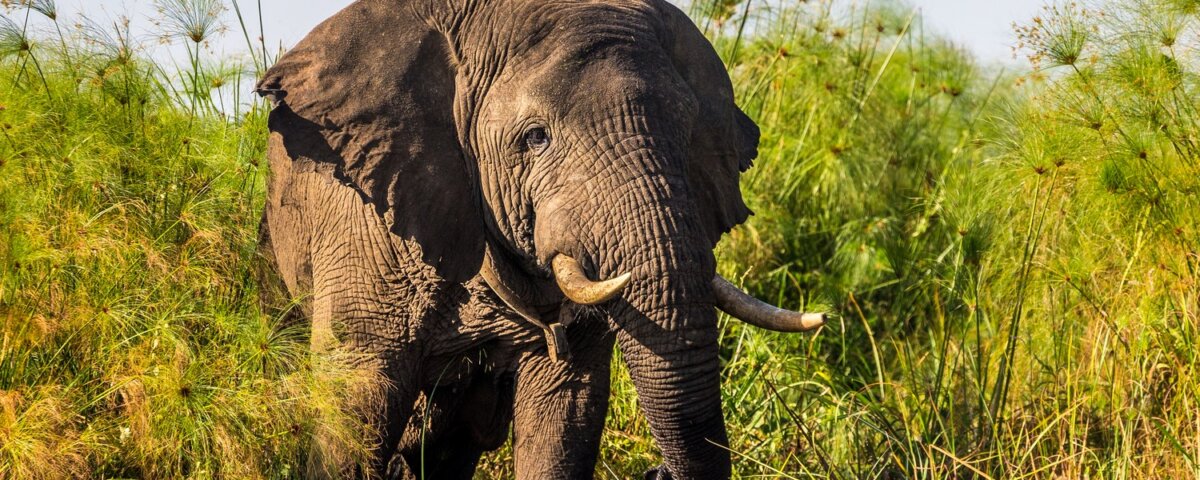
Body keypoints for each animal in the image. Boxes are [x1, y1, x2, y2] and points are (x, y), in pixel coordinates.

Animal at [254, 0, 826, 478]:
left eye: (689, 134)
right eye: (535, 138)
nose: (656, 470)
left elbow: (564, 412)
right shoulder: (364, 220)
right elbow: (357, 401)